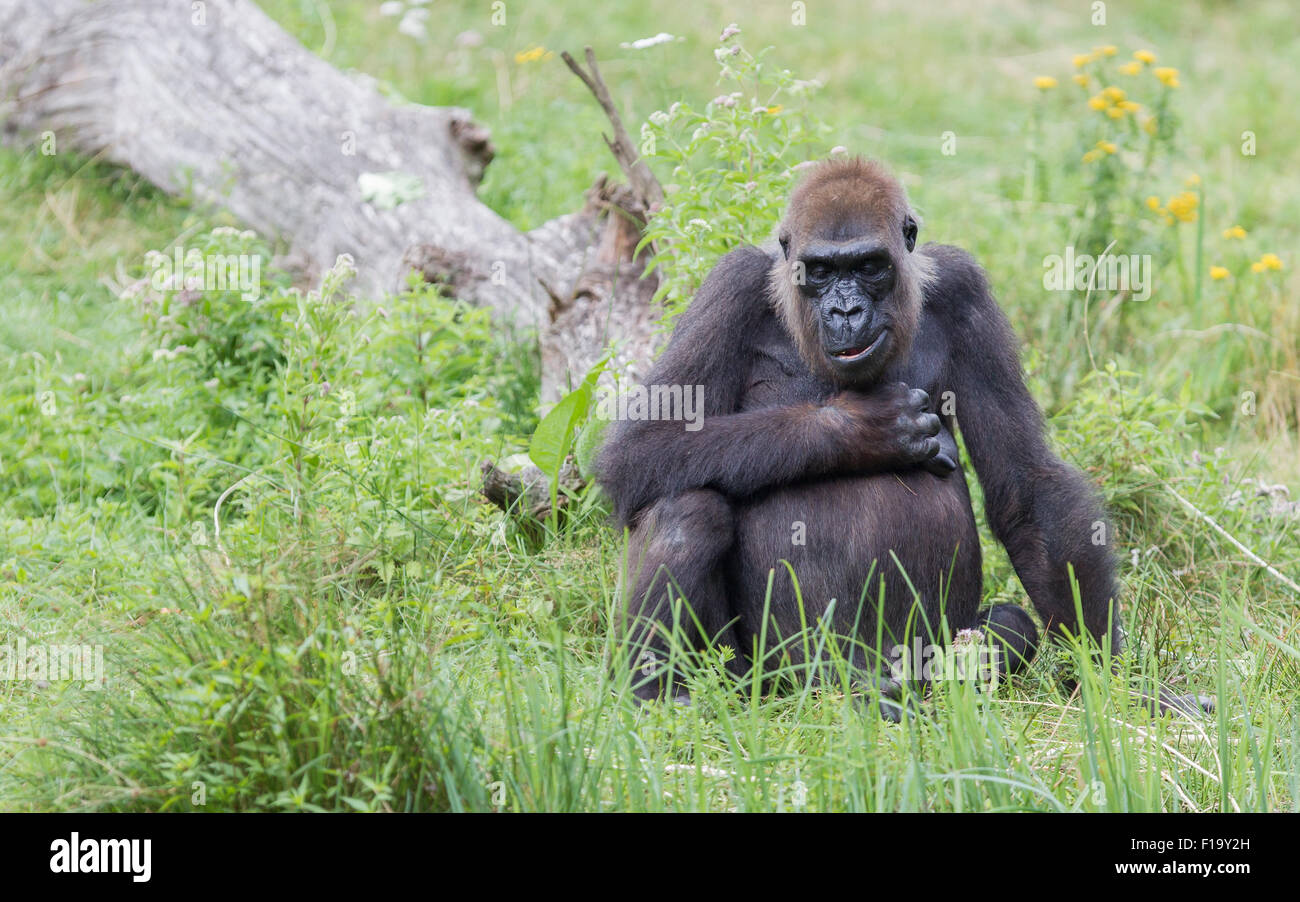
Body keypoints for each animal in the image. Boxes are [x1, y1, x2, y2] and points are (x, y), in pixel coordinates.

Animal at [598, 157, 1206, 722]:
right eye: (820, 271)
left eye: (869, 267)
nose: (845, 310)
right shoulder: (732, 284)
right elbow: (641, 447)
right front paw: (861, 428)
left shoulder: (964, 288)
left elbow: (1027, 486)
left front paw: (1116, 683)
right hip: (765, 681)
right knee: (687, 508)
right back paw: (660, 697)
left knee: (1008, 624)